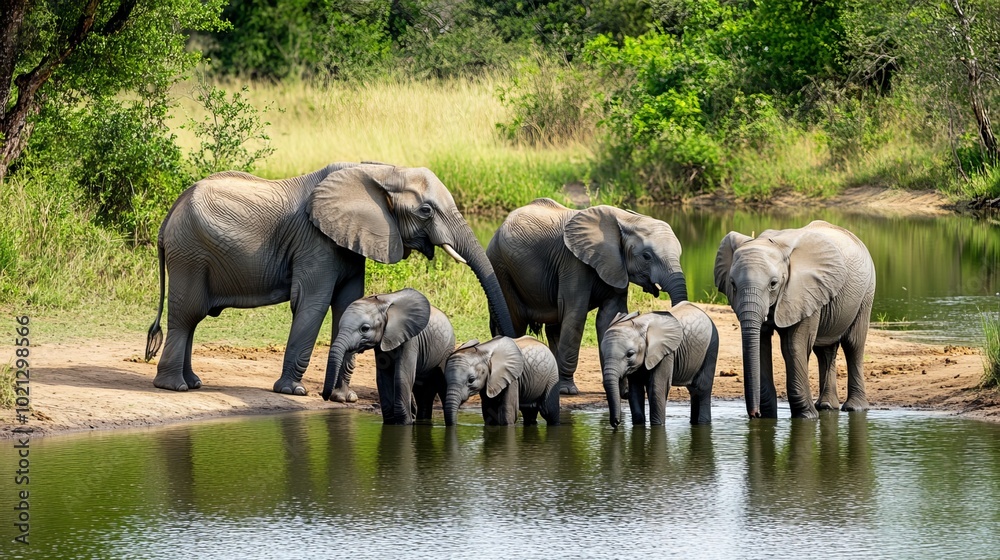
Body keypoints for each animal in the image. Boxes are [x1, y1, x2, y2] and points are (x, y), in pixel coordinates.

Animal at [144, 163, 515, 400]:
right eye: (426, 210)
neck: (381, 170)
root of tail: (168, 216)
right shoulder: (315, 241)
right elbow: (313, 303)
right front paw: (294, 392)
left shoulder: (351, 240)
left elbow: (349, 302)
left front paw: (343, 398)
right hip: (189, 253)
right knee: (187, 315)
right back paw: (175, 388)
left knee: (190, 320)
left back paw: (192, 384)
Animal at [327, 288, 455, 425]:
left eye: (365, 329)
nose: (327, 396)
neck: (383, 305)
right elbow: (383, 378)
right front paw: (391, 422)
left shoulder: (410, 340)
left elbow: (401, 377)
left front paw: (405, 423)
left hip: (447, 349)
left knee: (442, 383)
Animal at [486, 198, 688, 396]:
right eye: (646, 256)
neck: (626, 219)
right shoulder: (573, 262)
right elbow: (576, 315)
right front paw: (567, 390)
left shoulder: (615, 266)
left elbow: (610, 316)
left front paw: (623, 392)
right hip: (501, 268)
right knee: (517, 321)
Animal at [714, 220, 876, 419]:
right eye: (732, 284)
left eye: (773, 284)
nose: (754, 414)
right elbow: (761, 345)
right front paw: (769, 418)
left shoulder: (804, 290)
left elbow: (794, 346)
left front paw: (807, 417)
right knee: (824, 350)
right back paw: (826, 406)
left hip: (867, 292)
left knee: (853, 344)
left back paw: (854, 408)